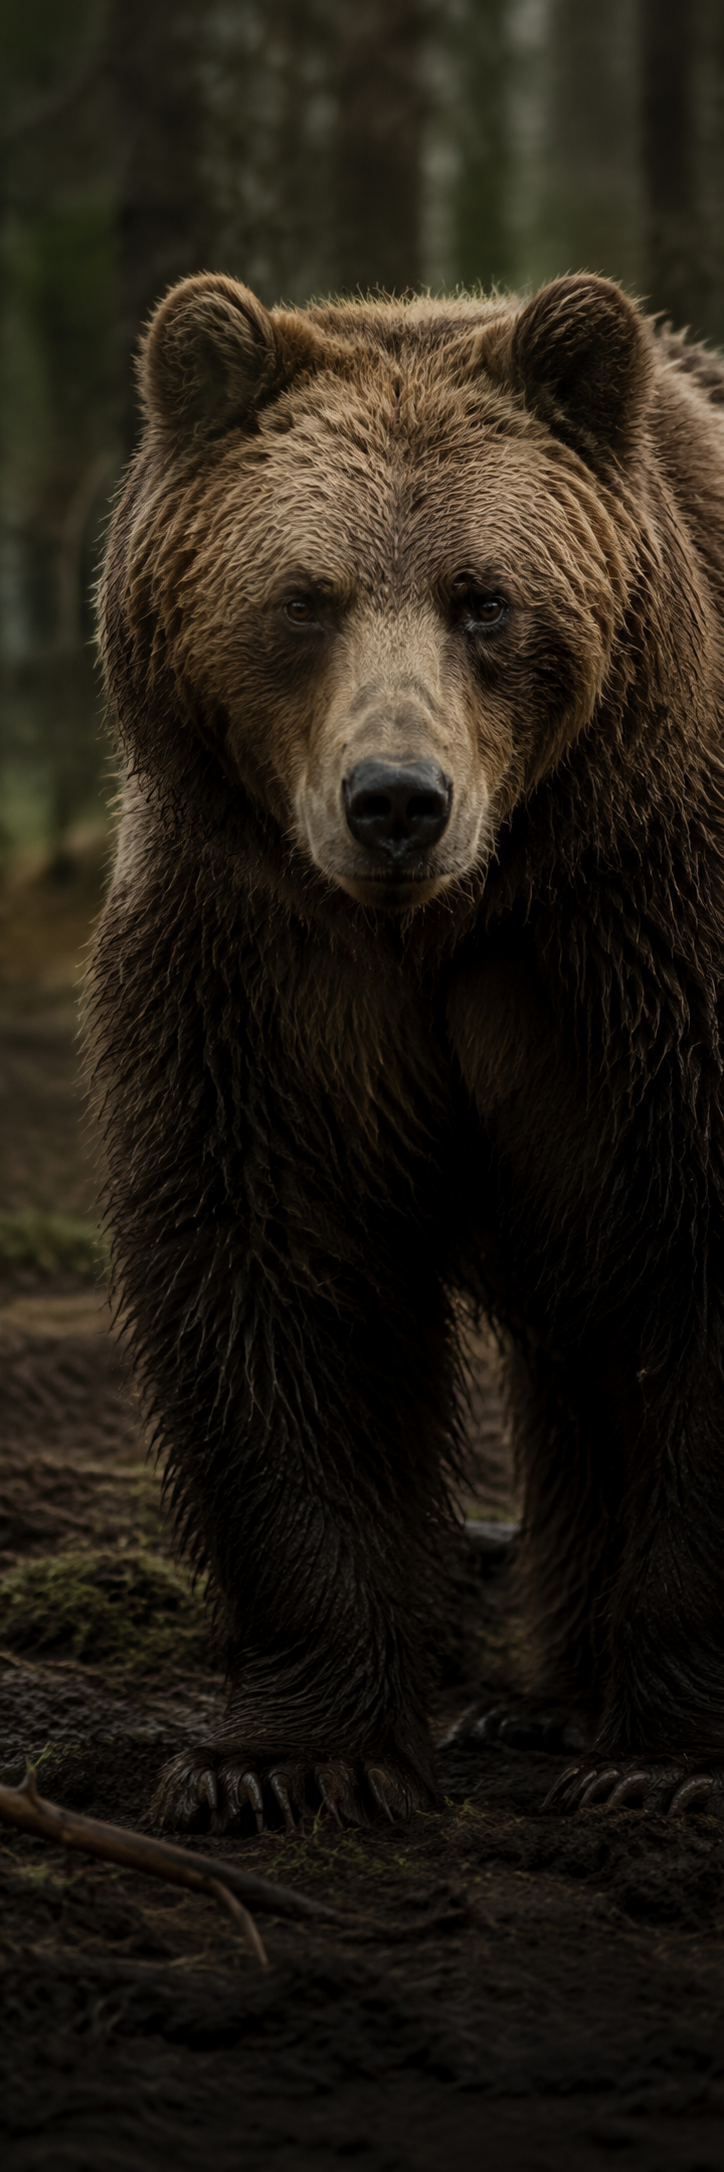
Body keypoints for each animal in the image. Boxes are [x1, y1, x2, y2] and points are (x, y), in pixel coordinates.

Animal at [88, 268, 724, 1831]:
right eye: (302, 598)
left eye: (485, 599)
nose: (395, 801)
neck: (452, 917)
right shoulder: (263, 965)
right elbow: (274, 1272)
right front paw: (286, 1759)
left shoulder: (636, 935)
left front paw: (665, 1761)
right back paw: (540, 1702)